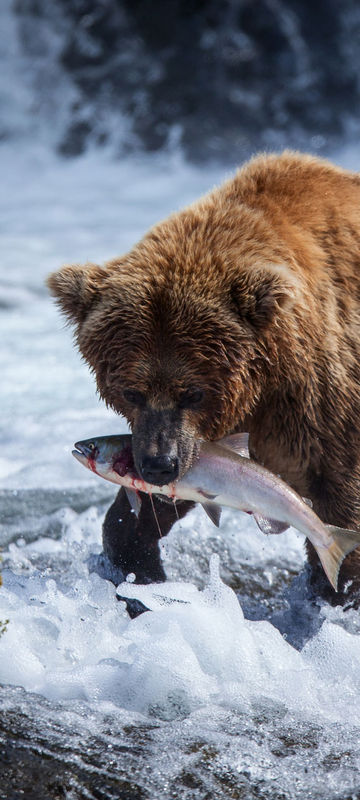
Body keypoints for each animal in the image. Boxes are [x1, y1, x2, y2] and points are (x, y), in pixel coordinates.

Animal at [47, 150, 360, 604]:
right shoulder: (204, 445)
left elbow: (339, 500)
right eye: (131, 391)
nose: (159, 466)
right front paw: (140, 571)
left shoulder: (319, 406)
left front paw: (333, 595)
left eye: (193, 392)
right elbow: (154, 508)